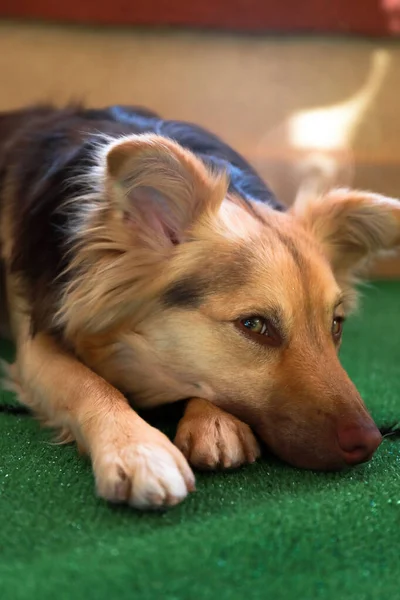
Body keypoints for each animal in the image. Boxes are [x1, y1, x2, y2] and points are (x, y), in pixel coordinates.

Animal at [0, 103, 400, 506]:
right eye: (254, 325)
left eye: (336, 324)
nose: (370, 442)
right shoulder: (36, 342)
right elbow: (89, 383)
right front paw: (139, 449)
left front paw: (214, 421)